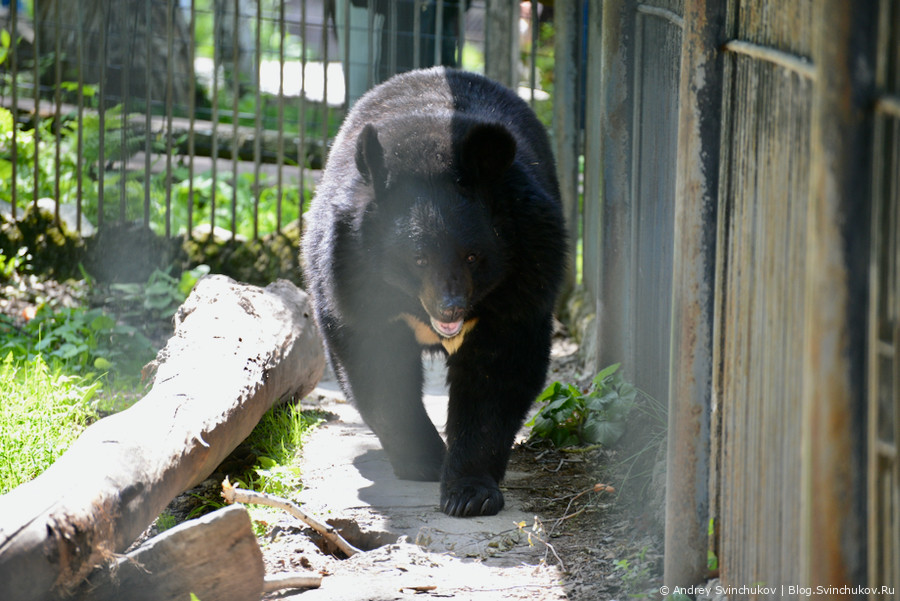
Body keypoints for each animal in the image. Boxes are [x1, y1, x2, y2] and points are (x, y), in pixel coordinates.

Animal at [306, 67, 568, 516]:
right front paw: (425, 461)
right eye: (418, 259)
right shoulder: (349, 277)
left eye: (473, 256)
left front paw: (470, 493)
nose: (451, 309)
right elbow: (377, 369)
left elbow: (496, 376)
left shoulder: (525, 276)